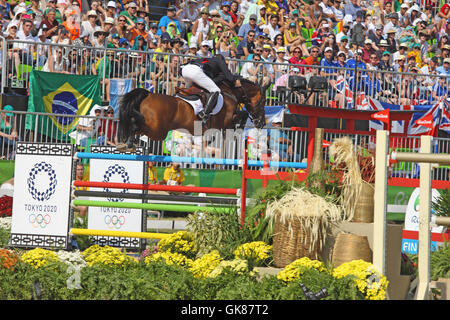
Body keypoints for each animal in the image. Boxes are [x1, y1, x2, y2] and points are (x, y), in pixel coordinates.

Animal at [118, 77, 268, 150]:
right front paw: (240, 126)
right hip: (158, 131)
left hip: (156, 131)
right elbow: (242, 114)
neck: (230, 92)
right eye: (263, 101)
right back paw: (129, 138)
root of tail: (147, 94)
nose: (261, 123)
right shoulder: (226, 121)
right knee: (137, 123)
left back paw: (129, 141)